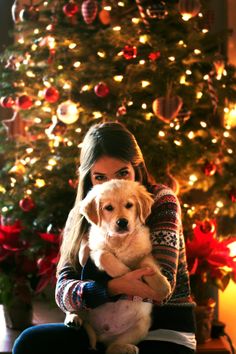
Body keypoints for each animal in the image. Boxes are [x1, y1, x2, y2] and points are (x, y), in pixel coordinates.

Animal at [65, 180, 171, 354]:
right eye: (108, 208)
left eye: (129, 205)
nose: (122, 222)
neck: (120, 240)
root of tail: (103, 333)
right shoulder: (94, 250)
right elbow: (104, 256)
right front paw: (124, 272)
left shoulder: (145, 252)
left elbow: (148, 266)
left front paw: (162, 285)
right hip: (83, 298)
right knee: (73, 304)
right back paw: (73, 318)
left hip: (141, 326)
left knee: (111, 348)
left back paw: (128, 348)